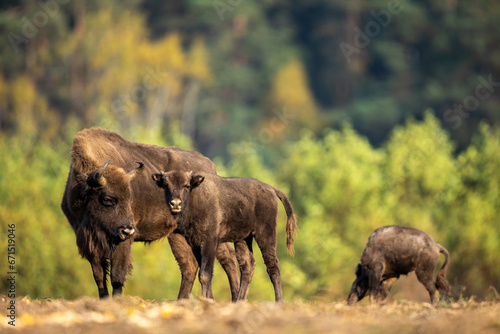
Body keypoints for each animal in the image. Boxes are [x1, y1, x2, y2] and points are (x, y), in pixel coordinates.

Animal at [60, 128, 240, 300]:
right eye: (108, 199)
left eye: (130, 197)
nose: (128, 230)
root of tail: (210, 166)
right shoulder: (90, 244)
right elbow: (99, 278)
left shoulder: (122, 244)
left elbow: (117, 277)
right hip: (177, 235)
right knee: (189, 265)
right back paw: (182, 301)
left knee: (228, 256)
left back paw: (235, 298)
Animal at [152, 171, 296, 304]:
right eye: (166, 185)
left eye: (186, 185)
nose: (175, 203)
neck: (195, 197)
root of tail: (271, 189)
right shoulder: (195, 244)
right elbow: (203, 273)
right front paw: (209, 299)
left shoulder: (209, 241)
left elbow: (205, 274)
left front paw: (206, 300)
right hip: (243, 239)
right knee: (247, 265)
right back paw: (239, 301)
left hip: (265, 234)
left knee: (272, 264)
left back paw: (279, 302)